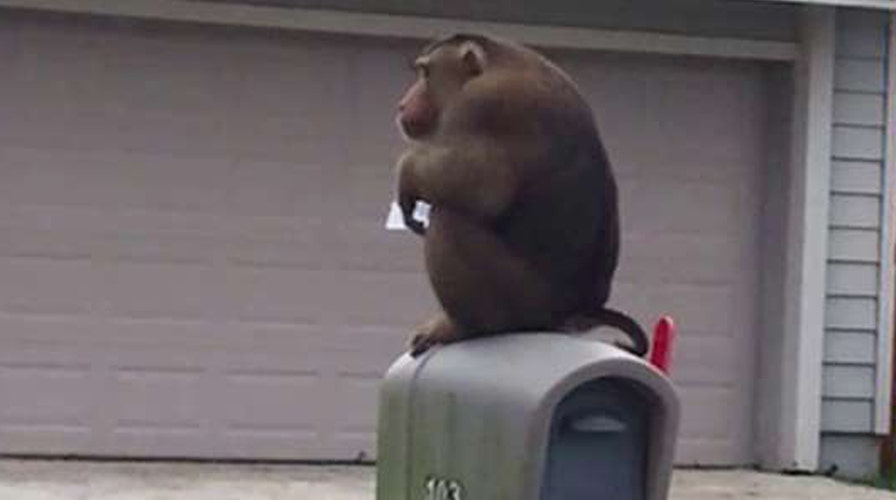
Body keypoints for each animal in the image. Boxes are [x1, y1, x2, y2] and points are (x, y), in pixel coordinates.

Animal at [394, 33, 649, 358]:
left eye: (426, 73)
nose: (403, 104)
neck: (495, 63)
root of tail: (579, 312)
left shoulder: (482, 104)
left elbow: (480, 186)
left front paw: (407, 175)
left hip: (524, 305)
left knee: (450, 219)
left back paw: (464, 327)